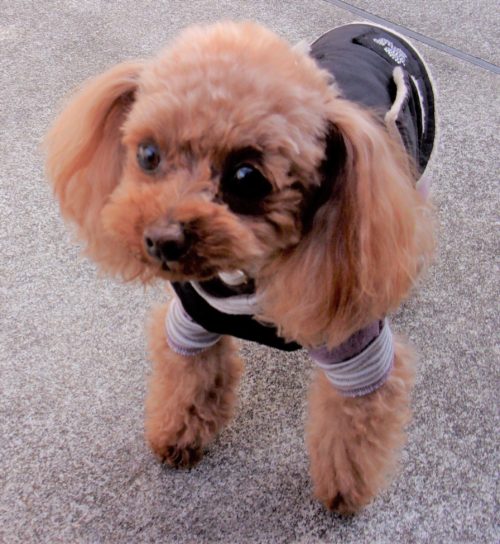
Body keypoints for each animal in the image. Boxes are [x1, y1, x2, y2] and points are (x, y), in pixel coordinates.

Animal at [45, 21, 436, 513]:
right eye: (148, 154)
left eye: (246, 178)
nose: (160, 240)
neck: (244, 277)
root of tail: (375, 31)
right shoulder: (194, 320)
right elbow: (189, 381)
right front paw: (178, 435)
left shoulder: (358, 353)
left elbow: (353, 429)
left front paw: (344, 491)